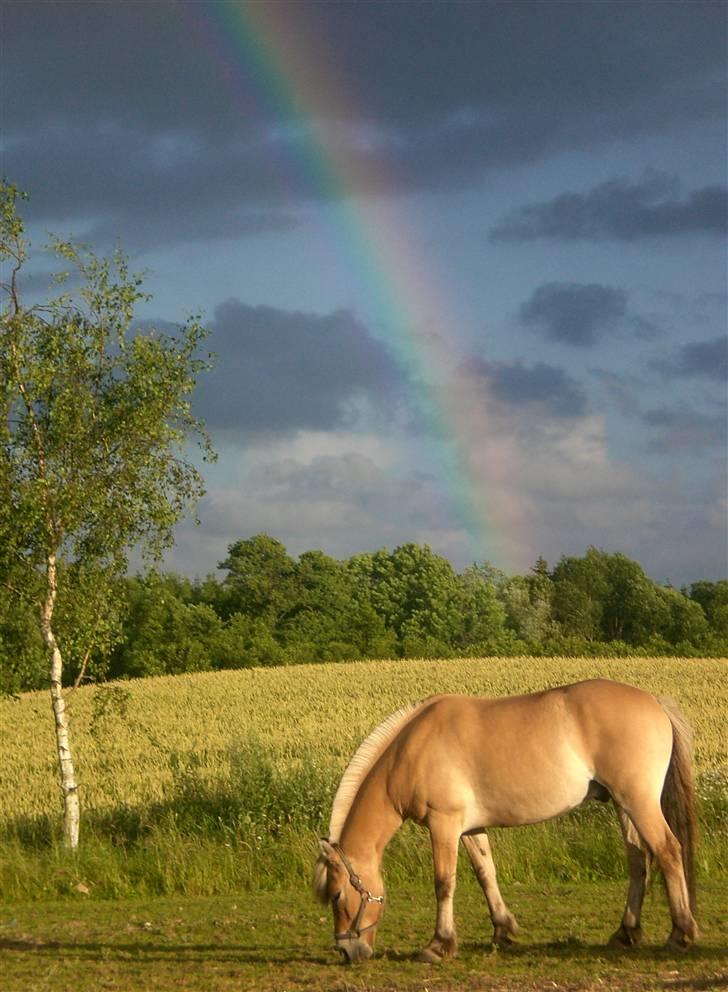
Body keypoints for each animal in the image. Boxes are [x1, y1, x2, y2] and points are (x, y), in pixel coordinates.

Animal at [314, 680, 700, 964]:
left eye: (336, 894)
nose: (347, 952)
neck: (410, 751)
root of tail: (655, 701)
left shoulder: (444, 825)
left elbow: (444, 883)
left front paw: (439, 945)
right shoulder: (469, 829)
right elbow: (486, 874)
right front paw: (503, 930)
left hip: (638, 802)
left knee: (668, 851)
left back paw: (680, 934)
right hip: (623, 806)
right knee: (638, 861)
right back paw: (625, 933)